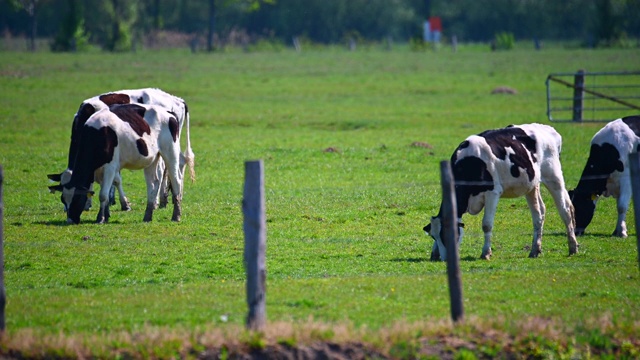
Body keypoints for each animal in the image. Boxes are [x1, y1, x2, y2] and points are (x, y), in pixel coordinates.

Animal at [48, 87, 194, 211]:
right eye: (62, 198)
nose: (67, 210)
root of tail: (177, 100)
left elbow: (115, 179)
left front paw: (122, 203)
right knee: (178, 163)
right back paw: (169, 198)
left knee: (165, 168)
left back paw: (162, 200)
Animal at [422, 122, 576, 260]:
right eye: (434, 236)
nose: (446, 258)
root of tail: (548, 129)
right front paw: (434, 253)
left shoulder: (493, 192)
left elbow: (486, 225)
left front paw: (485, 253)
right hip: (532, 185)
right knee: (539, 214)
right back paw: (534, 250)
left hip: (553, 177)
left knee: (565, 210)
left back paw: (573, 247)